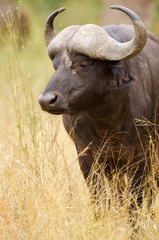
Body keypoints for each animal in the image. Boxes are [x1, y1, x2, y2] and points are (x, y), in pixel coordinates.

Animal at [38, 5, 159, 204]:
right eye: (56, 65)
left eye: (83, 64)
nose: (46, 100)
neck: (108, 122)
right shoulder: (85, 155)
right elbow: (99, 196)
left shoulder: (143, 154)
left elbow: (137, 197)